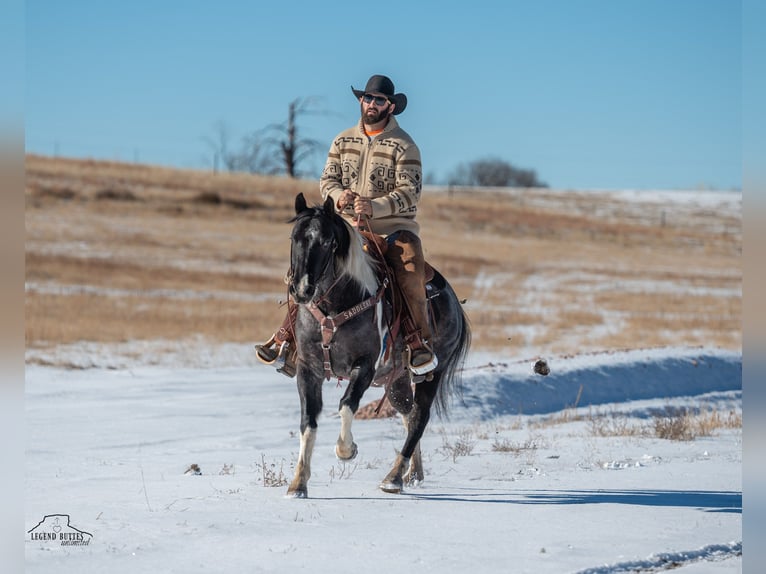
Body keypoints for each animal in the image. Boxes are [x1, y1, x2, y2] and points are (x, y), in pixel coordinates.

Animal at [284, 195, 472, 500]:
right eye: (294, 237)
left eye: (327, 241)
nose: (302, 290)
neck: (338, 305)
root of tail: (455, 303)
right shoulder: (308, 369)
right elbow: (308, 421)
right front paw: (298, 484)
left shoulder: (365, 365)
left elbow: (347, 405)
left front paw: (346, 450)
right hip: (396, 381)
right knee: (409, 415)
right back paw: (412, 474)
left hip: (432, 372)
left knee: (419, 418)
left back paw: (393, 478)